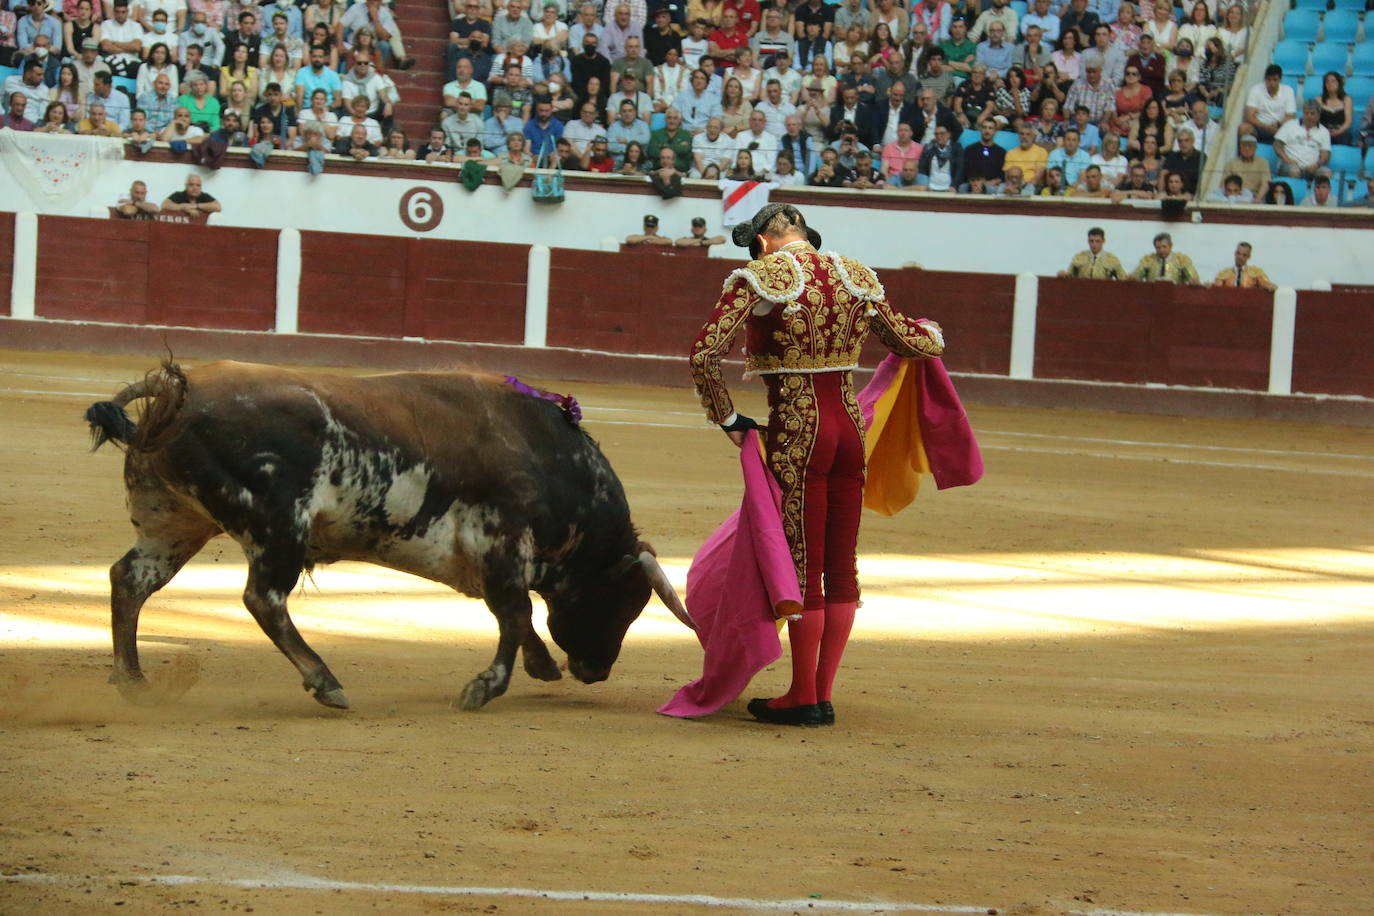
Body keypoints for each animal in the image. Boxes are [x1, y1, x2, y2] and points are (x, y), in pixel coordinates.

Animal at [80, 362, 692, 714]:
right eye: (624, 604)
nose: (596, 670)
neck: (551, 459)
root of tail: (177, 391)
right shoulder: (500, 543)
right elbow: (515, 614)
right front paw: (483, 688)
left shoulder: (489, 561)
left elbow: (516, 619)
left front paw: (540, 665)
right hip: (277, 525)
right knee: (263, 599)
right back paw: (325, 681)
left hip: (173, 523)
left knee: (129, 580)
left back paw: (134, 683)